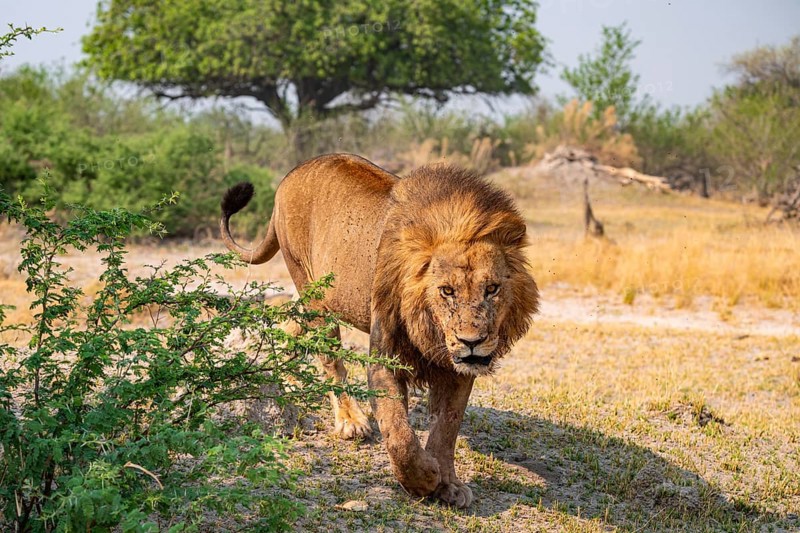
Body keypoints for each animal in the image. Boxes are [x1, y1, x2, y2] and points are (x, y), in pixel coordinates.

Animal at [220, 154, 539, 508]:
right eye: (447, 291)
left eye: (492, 289)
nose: (472, 341)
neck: (431, 329)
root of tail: (291, 175)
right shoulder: (386, 355)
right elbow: (398, 432)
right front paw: (423, 479)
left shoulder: (457, 369)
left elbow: (447, 427)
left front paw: (449, 484)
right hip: (311, 288)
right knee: (331, 361)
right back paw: (350, 421)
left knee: (288, 324)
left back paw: (284, 376)